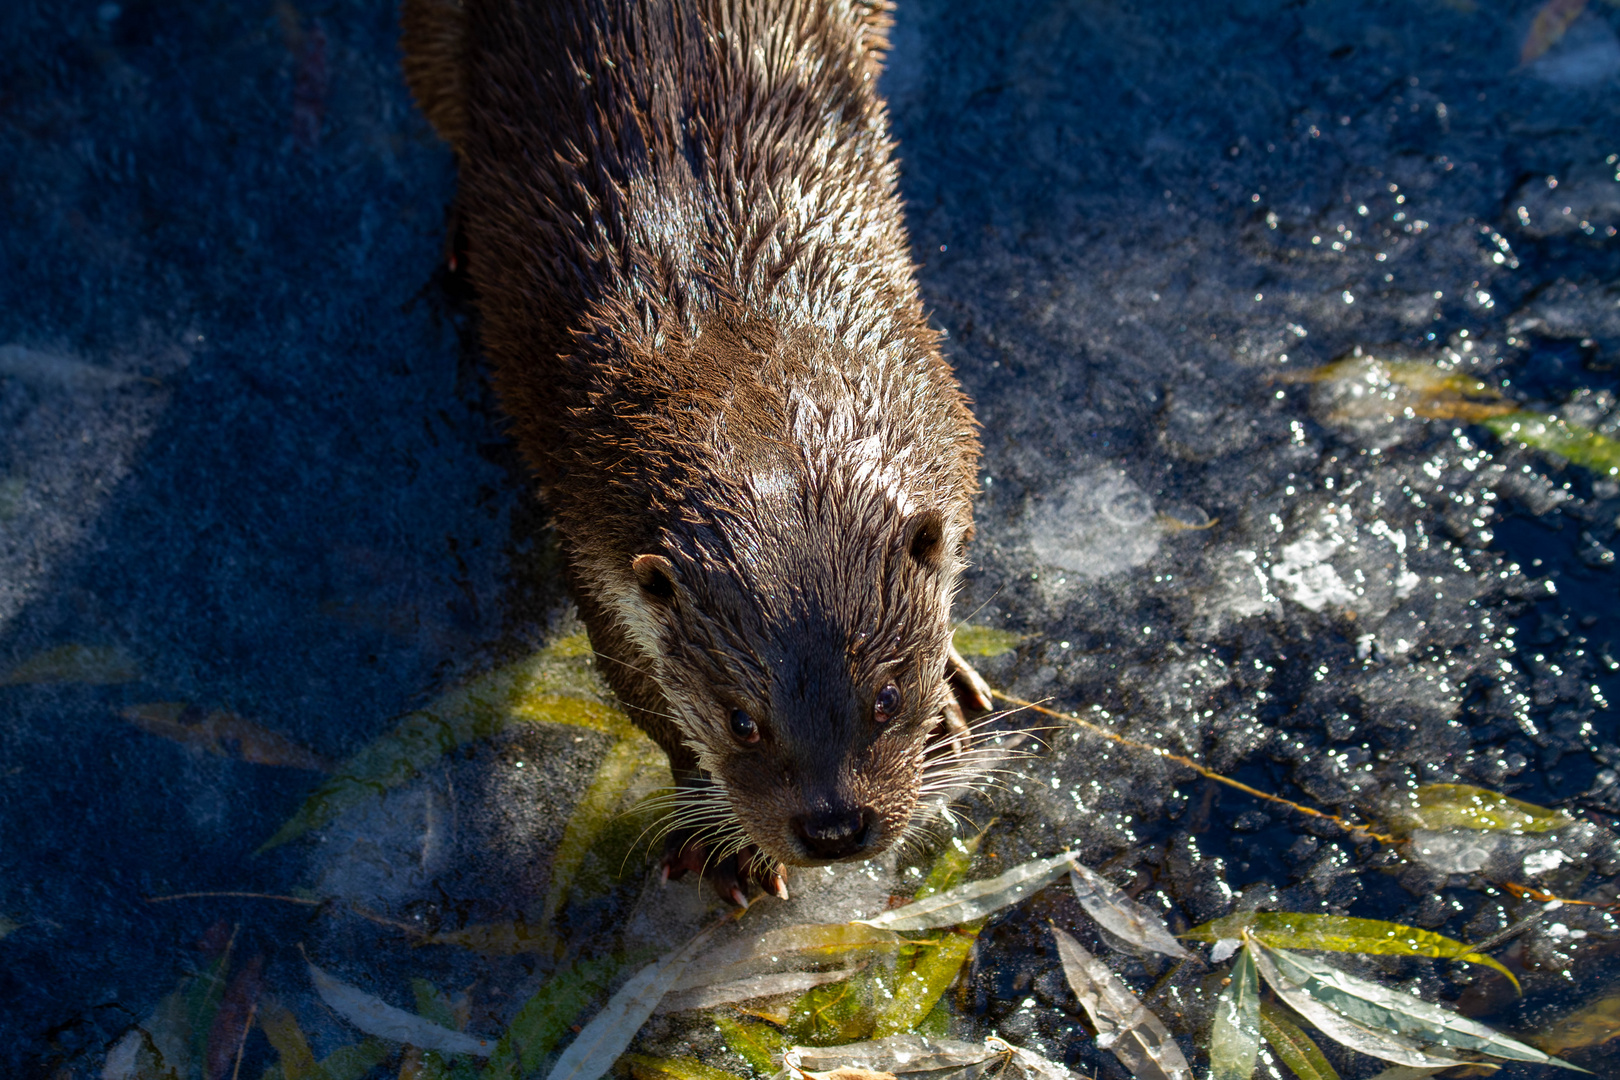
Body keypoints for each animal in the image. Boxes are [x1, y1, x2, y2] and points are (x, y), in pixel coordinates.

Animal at [401, 0, 984, 906]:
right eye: (741, 720)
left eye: (888, 695)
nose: (833, 826)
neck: (738, 331)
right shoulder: (593, 547)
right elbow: (642, 696)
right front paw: (724, 848)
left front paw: (953, 686)